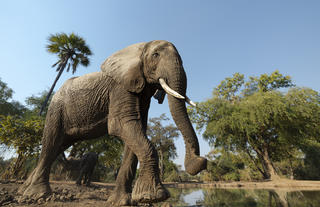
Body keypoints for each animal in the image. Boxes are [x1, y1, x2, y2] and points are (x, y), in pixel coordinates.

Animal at [18, 39, 208, 205]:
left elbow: (137, 131)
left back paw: (25, 188)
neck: (138, 48)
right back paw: (37, 194)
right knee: (51, 143)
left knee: (58, 146)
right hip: (56, 108)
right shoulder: (120, 88)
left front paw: (124, 201)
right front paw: (153, 197)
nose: (201, 161)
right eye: (155, 55)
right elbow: (123, 125)